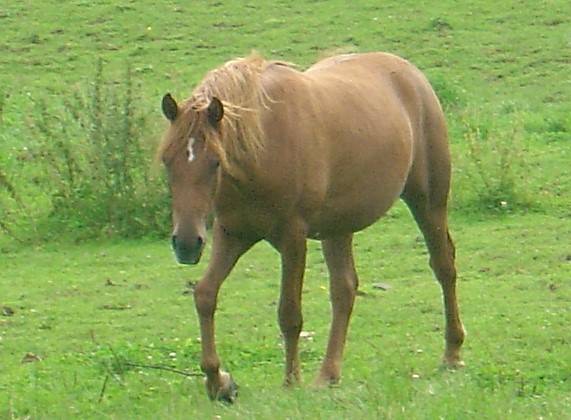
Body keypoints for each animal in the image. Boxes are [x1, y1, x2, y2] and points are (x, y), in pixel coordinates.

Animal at [156, 52, 464, 404]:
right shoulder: (232, 233)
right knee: (344, 290)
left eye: (215, 162)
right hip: (337, 228)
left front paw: (291, 381)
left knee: (444, 267)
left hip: (428, 202)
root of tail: (411, 74)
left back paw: (452, 354)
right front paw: (218, 381)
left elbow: (289, 314)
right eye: (167, 160)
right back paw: (328, 375)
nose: (186, 243)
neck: (262, 146)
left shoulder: (292, 238)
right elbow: (205, 295)